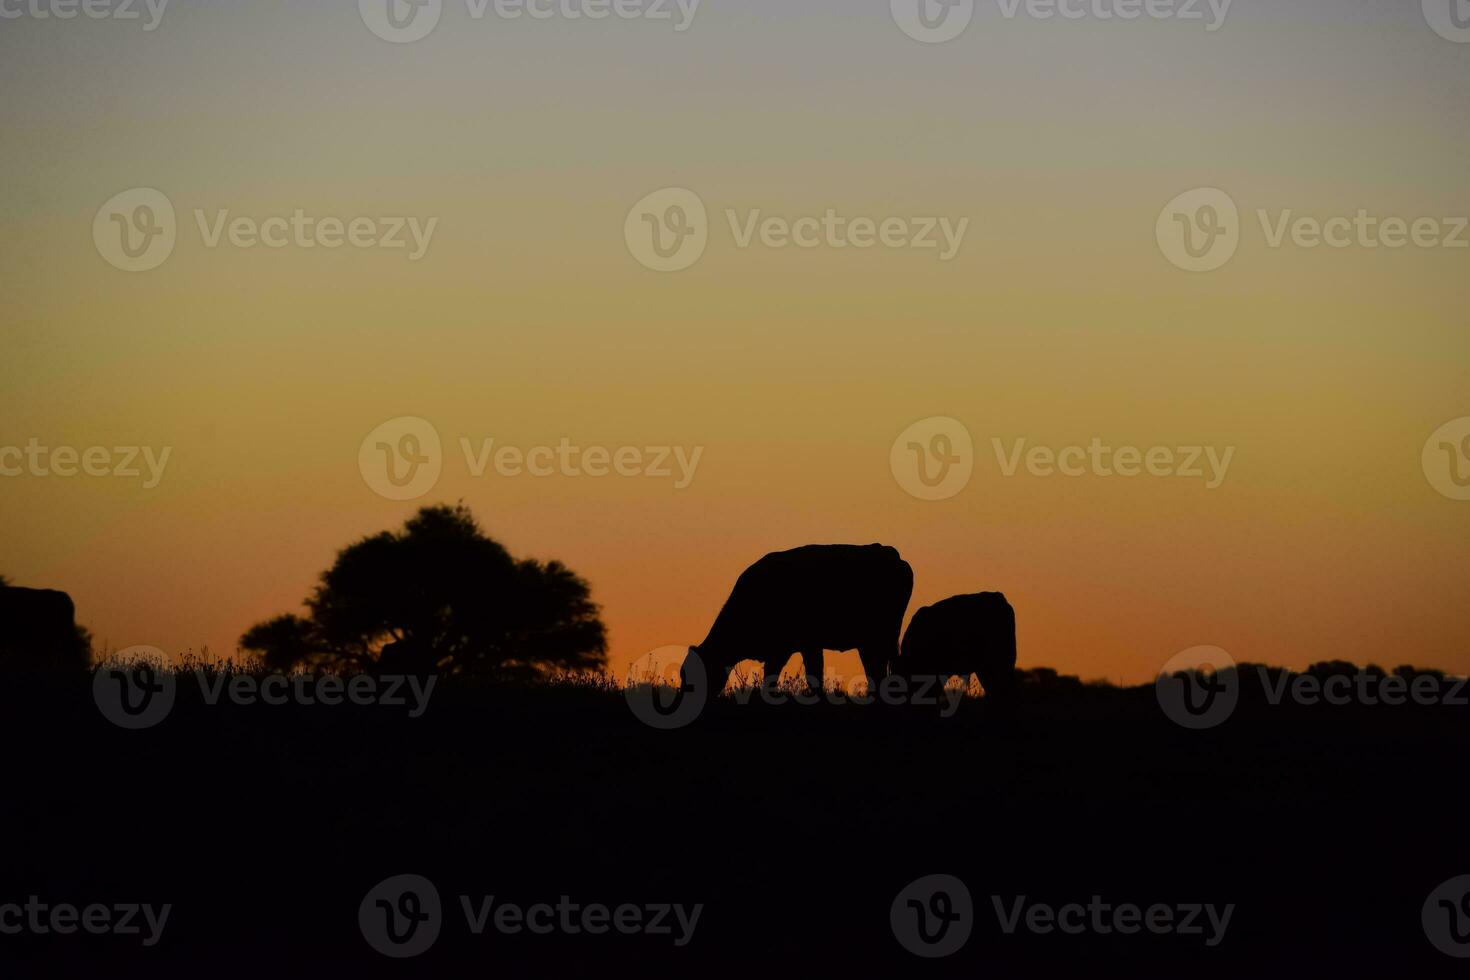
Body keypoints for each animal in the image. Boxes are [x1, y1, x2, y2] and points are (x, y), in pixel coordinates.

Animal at [682, 543, 911, 696]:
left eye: (692, 678)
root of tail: (890, 552)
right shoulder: (784, 649)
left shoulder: (800, 645)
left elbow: (809, 675)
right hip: (872, 642)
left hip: (882, 637)